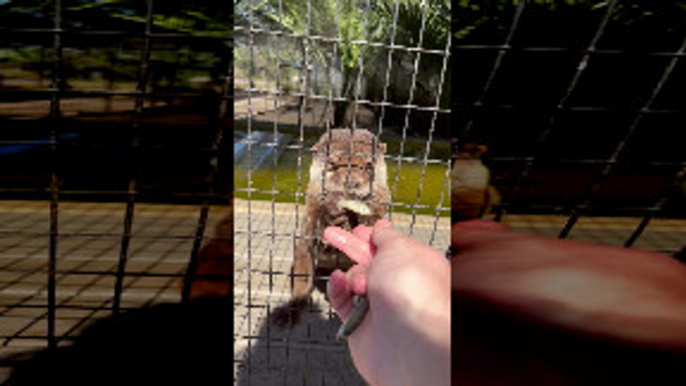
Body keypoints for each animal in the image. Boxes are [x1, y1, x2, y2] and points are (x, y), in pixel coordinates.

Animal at [274, 128, 392, 328]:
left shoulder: (383, 200)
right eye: (332, 165)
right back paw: (291, 309)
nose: (351, 183)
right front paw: (331, 213)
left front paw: (363, 215)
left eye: (368, 166)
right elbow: (314, 228)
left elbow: (376, 220)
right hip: (302, 258)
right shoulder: (312, 201)